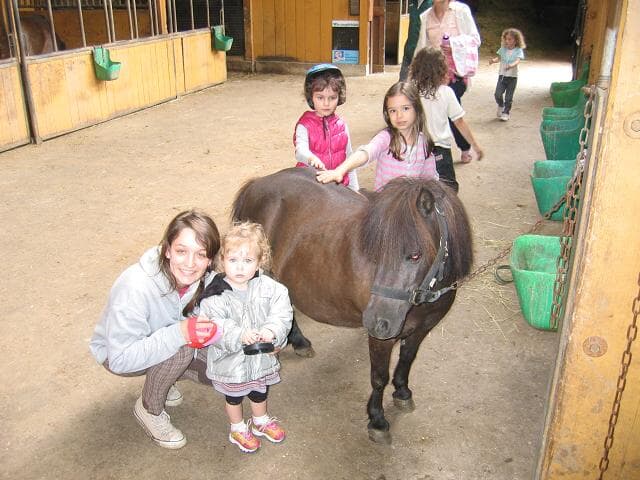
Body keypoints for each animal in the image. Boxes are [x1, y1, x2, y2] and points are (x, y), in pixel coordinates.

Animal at [231, 167, 473, 444]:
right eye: (375, 251)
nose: (377, 321)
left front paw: (402, 391)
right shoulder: (381, 340)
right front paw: (377, 420)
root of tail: (256, 184)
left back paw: (299, 341)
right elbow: (379, 377)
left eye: (415, 255)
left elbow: (407, 360)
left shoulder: (423, 328)